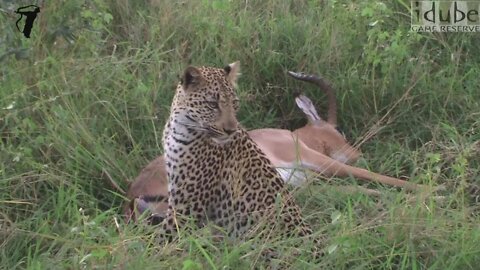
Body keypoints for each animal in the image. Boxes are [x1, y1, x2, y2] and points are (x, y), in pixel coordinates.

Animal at [158, 61, 322, 258]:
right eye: (212, 104)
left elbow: (159, 243)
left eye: (234, 103)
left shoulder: (186, 206)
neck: (179, 127)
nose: (230, 130)